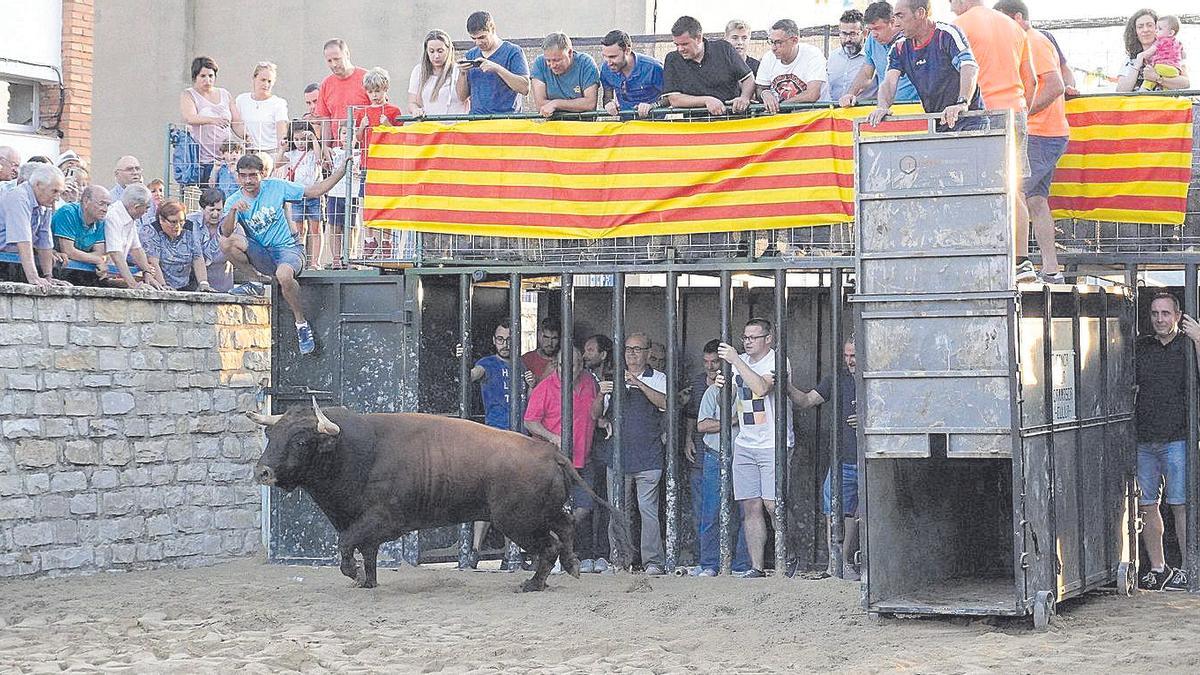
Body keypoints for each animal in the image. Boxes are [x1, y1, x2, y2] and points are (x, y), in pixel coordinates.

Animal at [254, 398, 638, 588]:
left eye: (300, 440)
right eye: (272, 435)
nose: (263, 472)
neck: (354, 449)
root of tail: (549, 452)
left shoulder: (381, 520)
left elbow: (347, 546)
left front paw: (356, 576)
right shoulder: (363, 526)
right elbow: (366, 552)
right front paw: (367, 582)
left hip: (518, 522)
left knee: (549, 546)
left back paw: (532, 584)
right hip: (543, 513)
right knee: (567, 526)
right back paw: (571, 568)